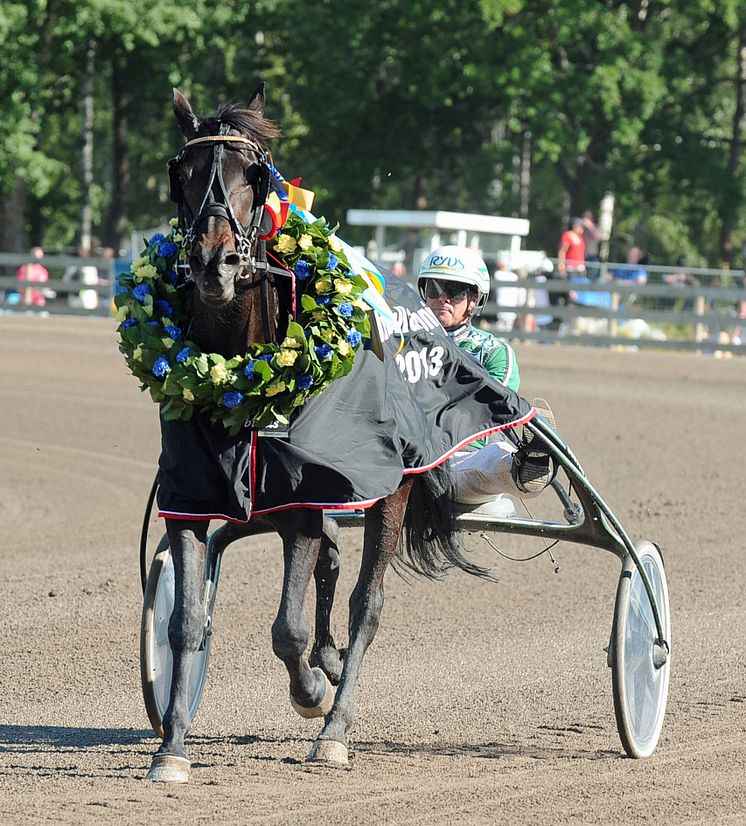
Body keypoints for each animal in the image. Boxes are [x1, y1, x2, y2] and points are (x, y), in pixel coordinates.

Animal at [148, 83, 492, 780]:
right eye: (183, 173)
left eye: (256, 175)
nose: (214, 263)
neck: (236, 375)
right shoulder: (191, 497)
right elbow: (187, 620)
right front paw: (171, 746)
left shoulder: (307, 493)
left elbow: (289, 628)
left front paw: (309, 692)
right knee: (331, 560)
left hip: (390, 487)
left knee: (366, 602)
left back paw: (335, 722)